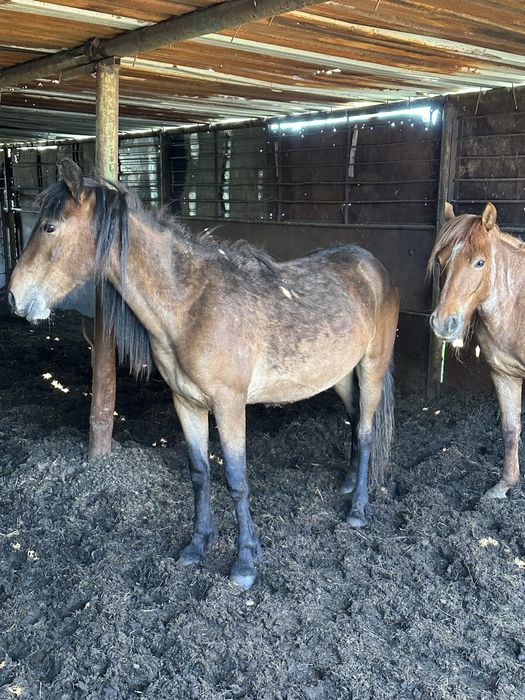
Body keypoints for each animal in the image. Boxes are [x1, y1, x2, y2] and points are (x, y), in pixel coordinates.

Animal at [8, 159, 399, 589]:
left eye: (49, 227)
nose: (13, 296)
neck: (191, 306)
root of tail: (372, 267)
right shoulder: (187, 402)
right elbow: (199, 472)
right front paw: (197, 546)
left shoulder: (229, 405)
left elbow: (236, 479)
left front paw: (245, 563)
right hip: (340, 376)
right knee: (354, 421)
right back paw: (347, 482)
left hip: (372, 367)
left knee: (366, 432)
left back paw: (358, 508)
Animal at [429, 201, 525, 499]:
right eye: (440, 260)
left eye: (479, 262)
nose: (443, 322)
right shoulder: (504, 374)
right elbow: (510, 428)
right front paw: (504, 486)